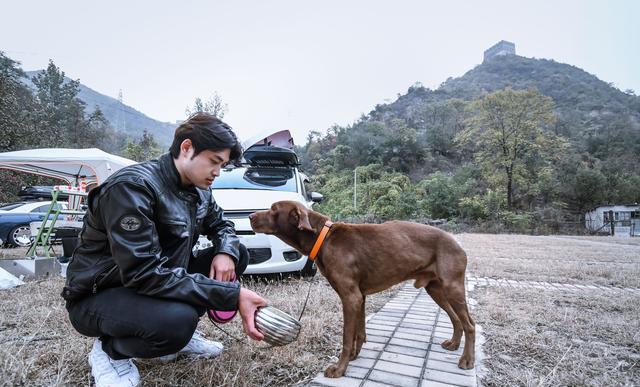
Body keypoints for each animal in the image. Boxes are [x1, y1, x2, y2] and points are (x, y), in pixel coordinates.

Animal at [250, 202, 476, 378]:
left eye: (273, 209)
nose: (250, 216)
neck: (325, 238)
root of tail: (457, 243)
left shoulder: (351, 297)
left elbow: (346, 337)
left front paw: (340, 368)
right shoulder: (360, 297)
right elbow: (359, 332)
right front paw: (353, 356)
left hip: (452, 288)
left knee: (470, 325)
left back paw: (467, 360)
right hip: (435, 289)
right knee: (457, 319)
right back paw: (454, 344)